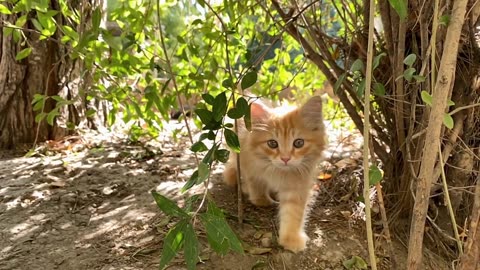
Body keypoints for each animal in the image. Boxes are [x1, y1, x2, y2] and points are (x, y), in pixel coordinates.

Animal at [224, 96, 326, 252]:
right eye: (272, 144)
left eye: (298, 143)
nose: (285, 158)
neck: (279, 172)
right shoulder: (249, 164)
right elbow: (256, 183)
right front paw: (261, 199)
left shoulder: (297, 184)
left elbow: (293, 212)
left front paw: (291, 238)